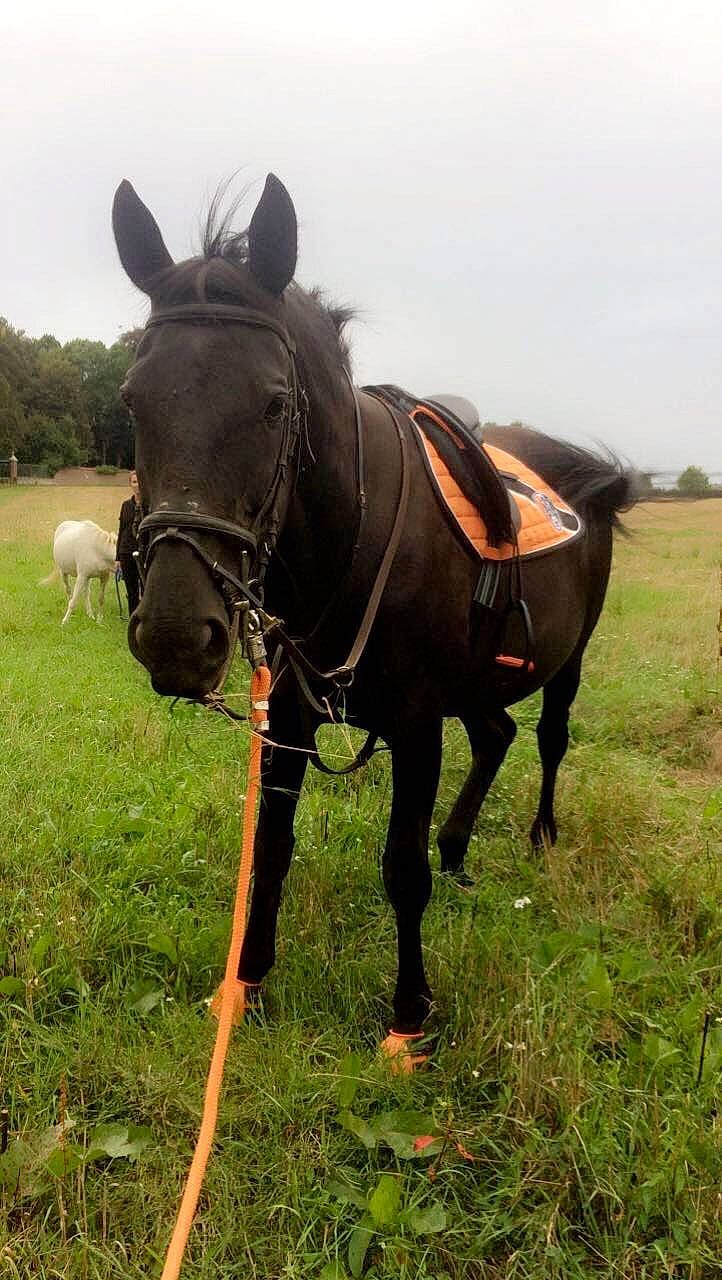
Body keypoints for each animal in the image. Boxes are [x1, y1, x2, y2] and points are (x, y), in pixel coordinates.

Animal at [111, 173, 637, 1053]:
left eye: (275, 404)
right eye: (131, 400)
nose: (179, 635)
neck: (351, 540)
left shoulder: (417, 725)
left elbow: (401, 869)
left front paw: (409, 1017)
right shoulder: (289, 717)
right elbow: (272, 850)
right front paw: (245, 984)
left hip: (569, 658)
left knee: (549, 739)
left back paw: (539, 837)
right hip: (481, 681)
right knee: (497, 735)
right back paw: (459, 848)